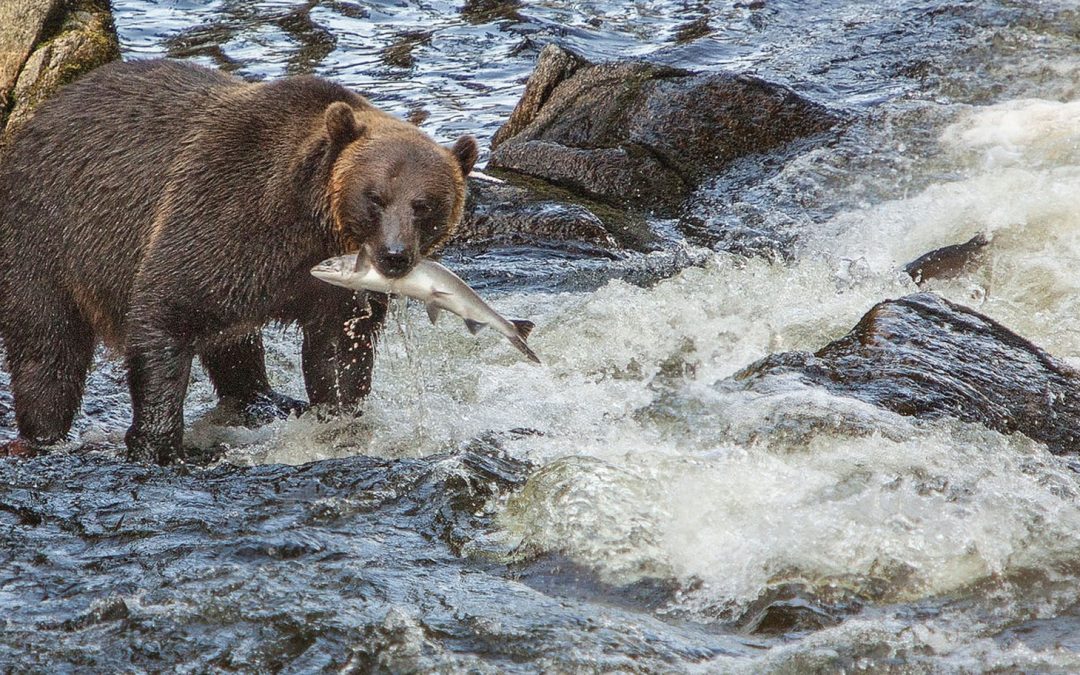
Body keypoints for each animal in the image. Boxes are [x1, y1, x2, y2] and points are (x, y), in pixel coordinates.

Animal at [0, 59, 478, 464]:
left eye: (425, 205)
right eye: (375, 197)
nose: (394, 256)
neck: (309, 224)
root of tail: (39, 116)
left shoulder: (330, 287)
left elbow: (339, 350)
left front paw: (339, 417)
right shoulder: (225, 211)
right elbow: (165, 311)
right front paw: (157, 444)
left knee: (234, 341)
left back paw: (265, 399)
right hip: (46, 233)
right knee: (47, 343)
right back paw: (41, 434)